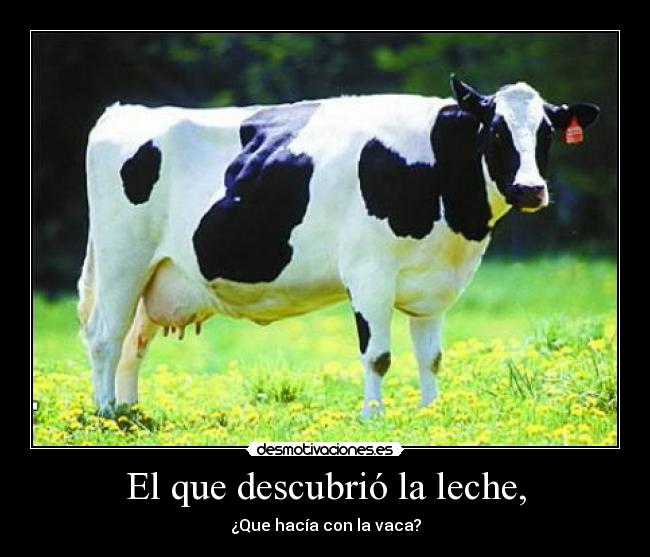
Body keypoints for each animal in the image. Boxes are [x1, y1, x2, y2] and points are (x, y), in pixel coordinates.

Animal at [78, 75, 599, 417]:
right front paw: (373, 418)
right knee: (105, 337)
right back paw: (106, 414)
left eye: (547, 133)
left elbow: (430, 356)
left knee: (133, 342)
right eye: (495, 130)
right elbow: (378, 356)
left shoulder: (433, 285)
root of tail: (124, 111)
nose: (530, 189)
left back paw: (130, 412)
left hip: (157, 275)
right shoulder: (369, 274)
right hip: (122, 260)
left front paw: (432, 413)